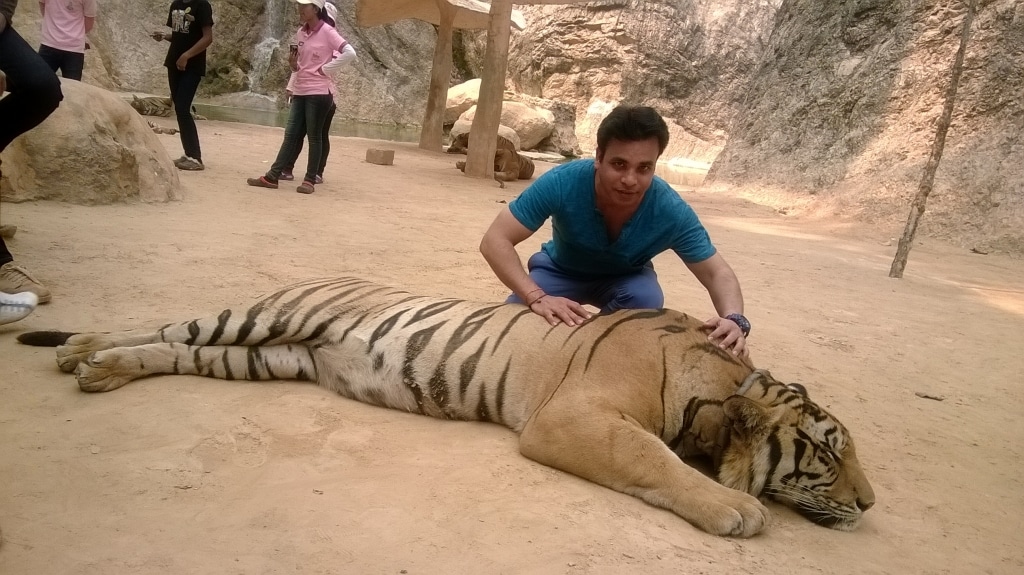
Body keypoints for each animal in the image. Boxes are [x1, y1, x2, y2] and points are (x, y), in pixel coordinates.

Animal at [18, 276, 872, 536]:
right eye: (830, 450)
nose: (868, 502)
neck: (722, 395)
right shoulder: (574, 417)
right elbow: (653, 458)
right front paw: (737, 508)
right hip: (257, 319)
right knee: (170, 322)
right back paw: (78, 348)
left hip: (261, 358)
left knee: (172, 350)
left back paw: (93, 367)